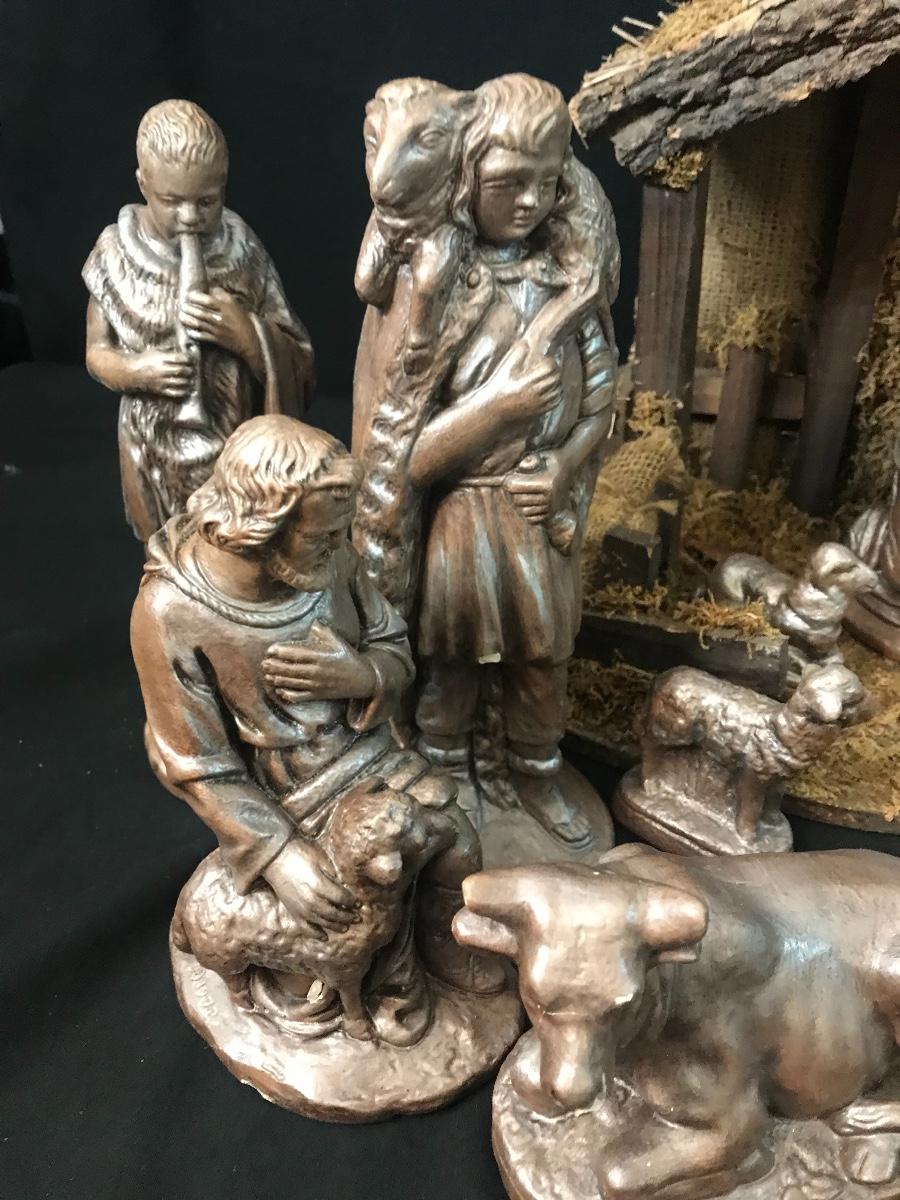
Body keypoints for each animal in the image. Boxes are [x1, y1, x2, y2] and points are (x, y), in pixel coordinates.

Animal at [172, 776, 459, 1042]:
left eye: (416, 807)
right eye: (421, 842)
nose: (452, 825)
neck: (358, 894)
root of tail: (184, 900)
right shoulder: (346, 969)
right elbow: (351, 1000)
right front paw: (361, 1030)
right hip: (224, 957)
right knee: (235, 985)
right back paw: (249, 1008)